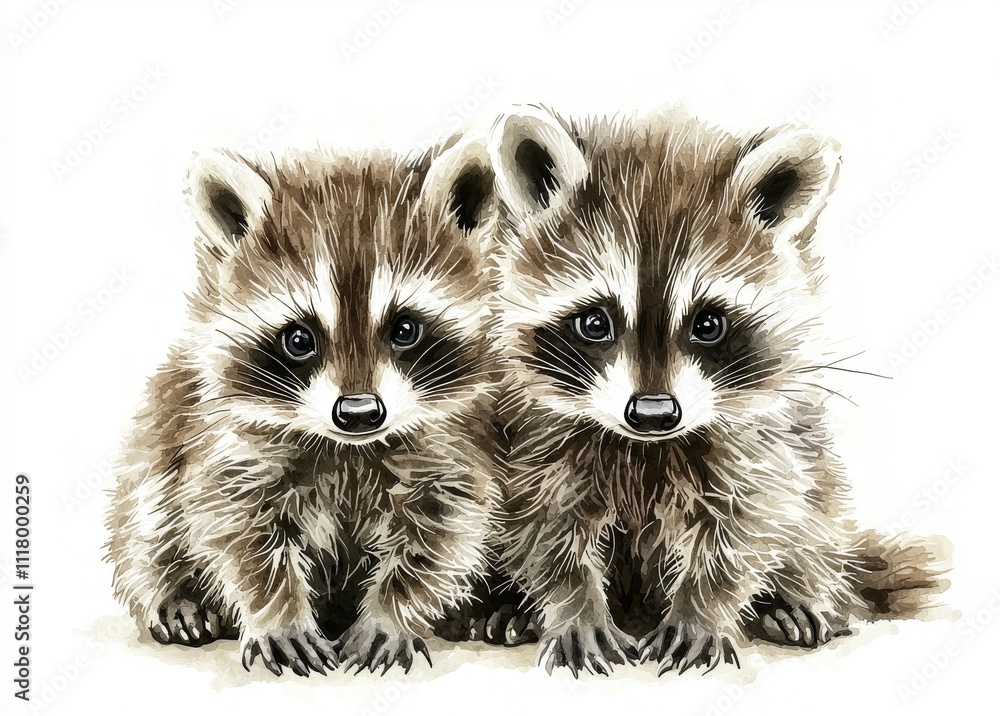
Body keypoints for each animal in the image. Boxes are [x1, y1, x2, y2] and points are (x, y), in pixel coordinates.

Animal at [105, 135, 501, 676]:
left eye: (404, 329)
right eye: (299, 339)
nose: (359, 412)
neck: (350, 447)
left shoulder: (452, 442)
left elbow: (442, 532)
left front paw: (390, 613)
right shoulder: (230, 440)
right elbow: (237, 529)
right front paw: (279, 616)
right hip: (165, 417)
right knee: (147, 507)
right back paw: (172, 591)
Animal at [485, 105, 947, 676]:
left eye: (708, 324)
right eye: (595, 322)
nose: (654, 413)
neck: (648, 448)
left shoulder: (761, 437)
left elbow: (749, 522)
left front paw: (701, 610)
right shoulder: (533, 434)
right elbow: (545, 524)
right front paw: (574, 608)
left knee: (814, 507)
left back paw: (795, 594)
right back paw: (507, 604)